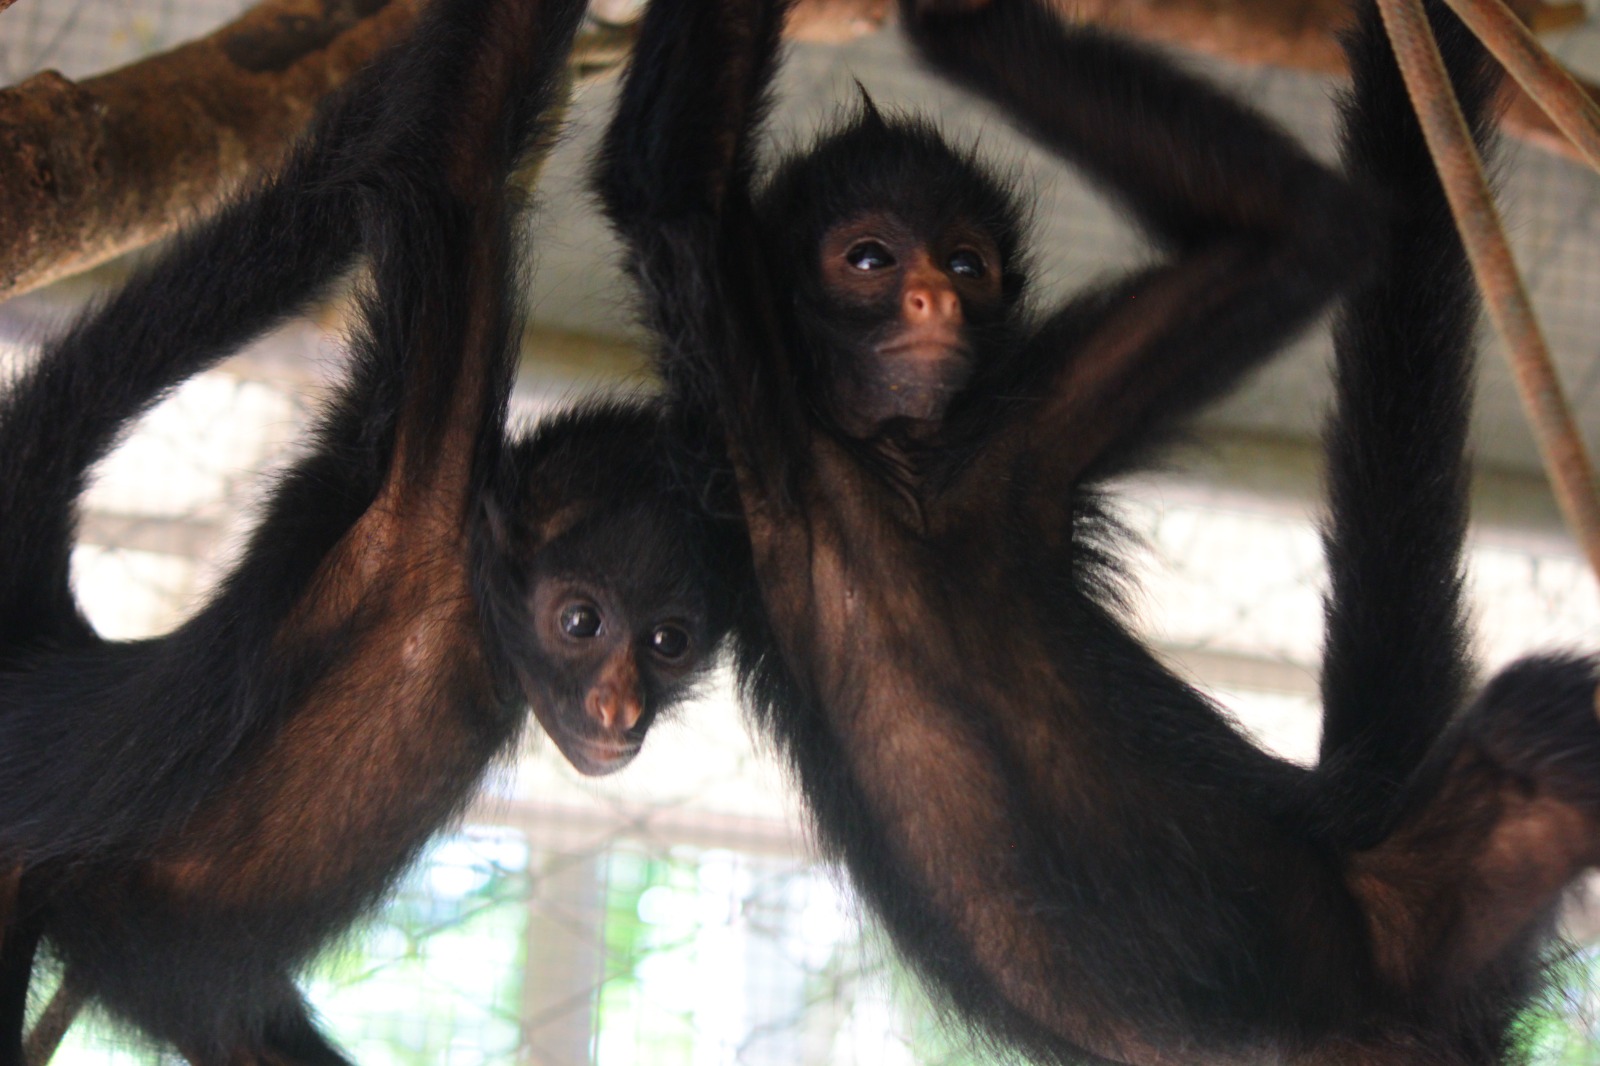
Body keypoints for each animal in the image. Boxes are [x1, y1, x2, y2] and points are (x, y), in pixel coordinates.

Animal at [0, 0, 726, 1056]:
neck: (468, 617)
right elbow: (466, 148)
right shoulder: (419, 491)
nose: (618, 709)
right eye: (580, 623)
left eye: (668, 644)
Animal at [598, 0, 1600, 1056]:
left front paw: (944, 16)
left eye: (967, 263)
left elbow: (1307, 232)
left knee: (1542, 733)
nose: (934, 297)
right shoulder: (762, 424)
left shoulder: (1026, 437)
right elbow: (672, 189)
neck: (906, 484)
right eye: (871, 259)